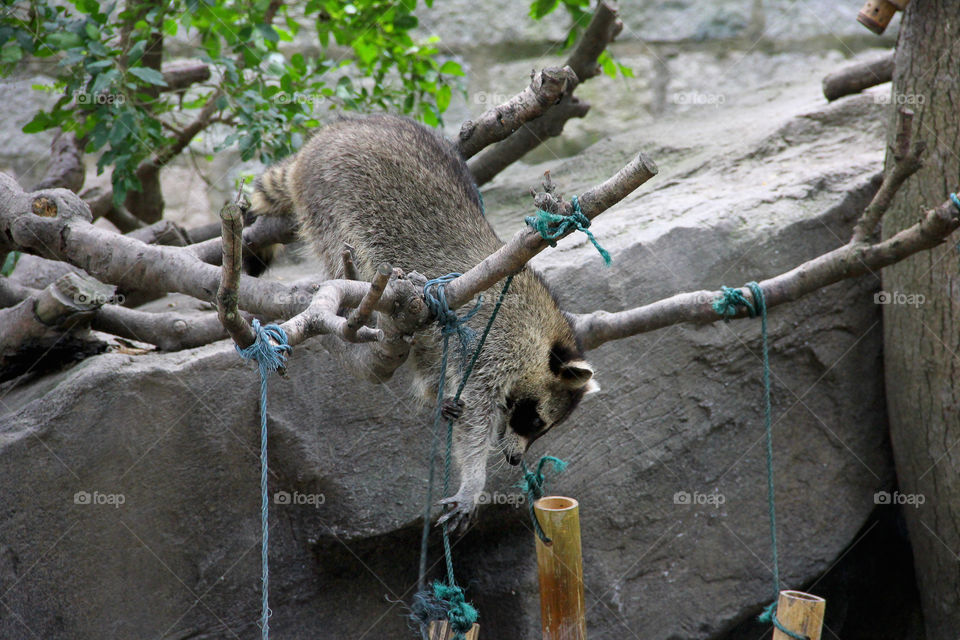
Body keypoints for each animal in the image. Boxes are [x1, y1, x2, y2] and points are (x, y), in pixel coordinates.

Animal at [255, 115, 600, 528]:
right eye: (535, 421)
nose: (516, 458)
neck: (542, 333)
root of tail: (326, 137)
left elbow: (436, 362)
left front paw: (439, 396)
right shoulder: (493, 342)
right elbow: (475, 415)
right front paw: (474, 480)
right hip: (331, 196)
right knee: (343, 251)